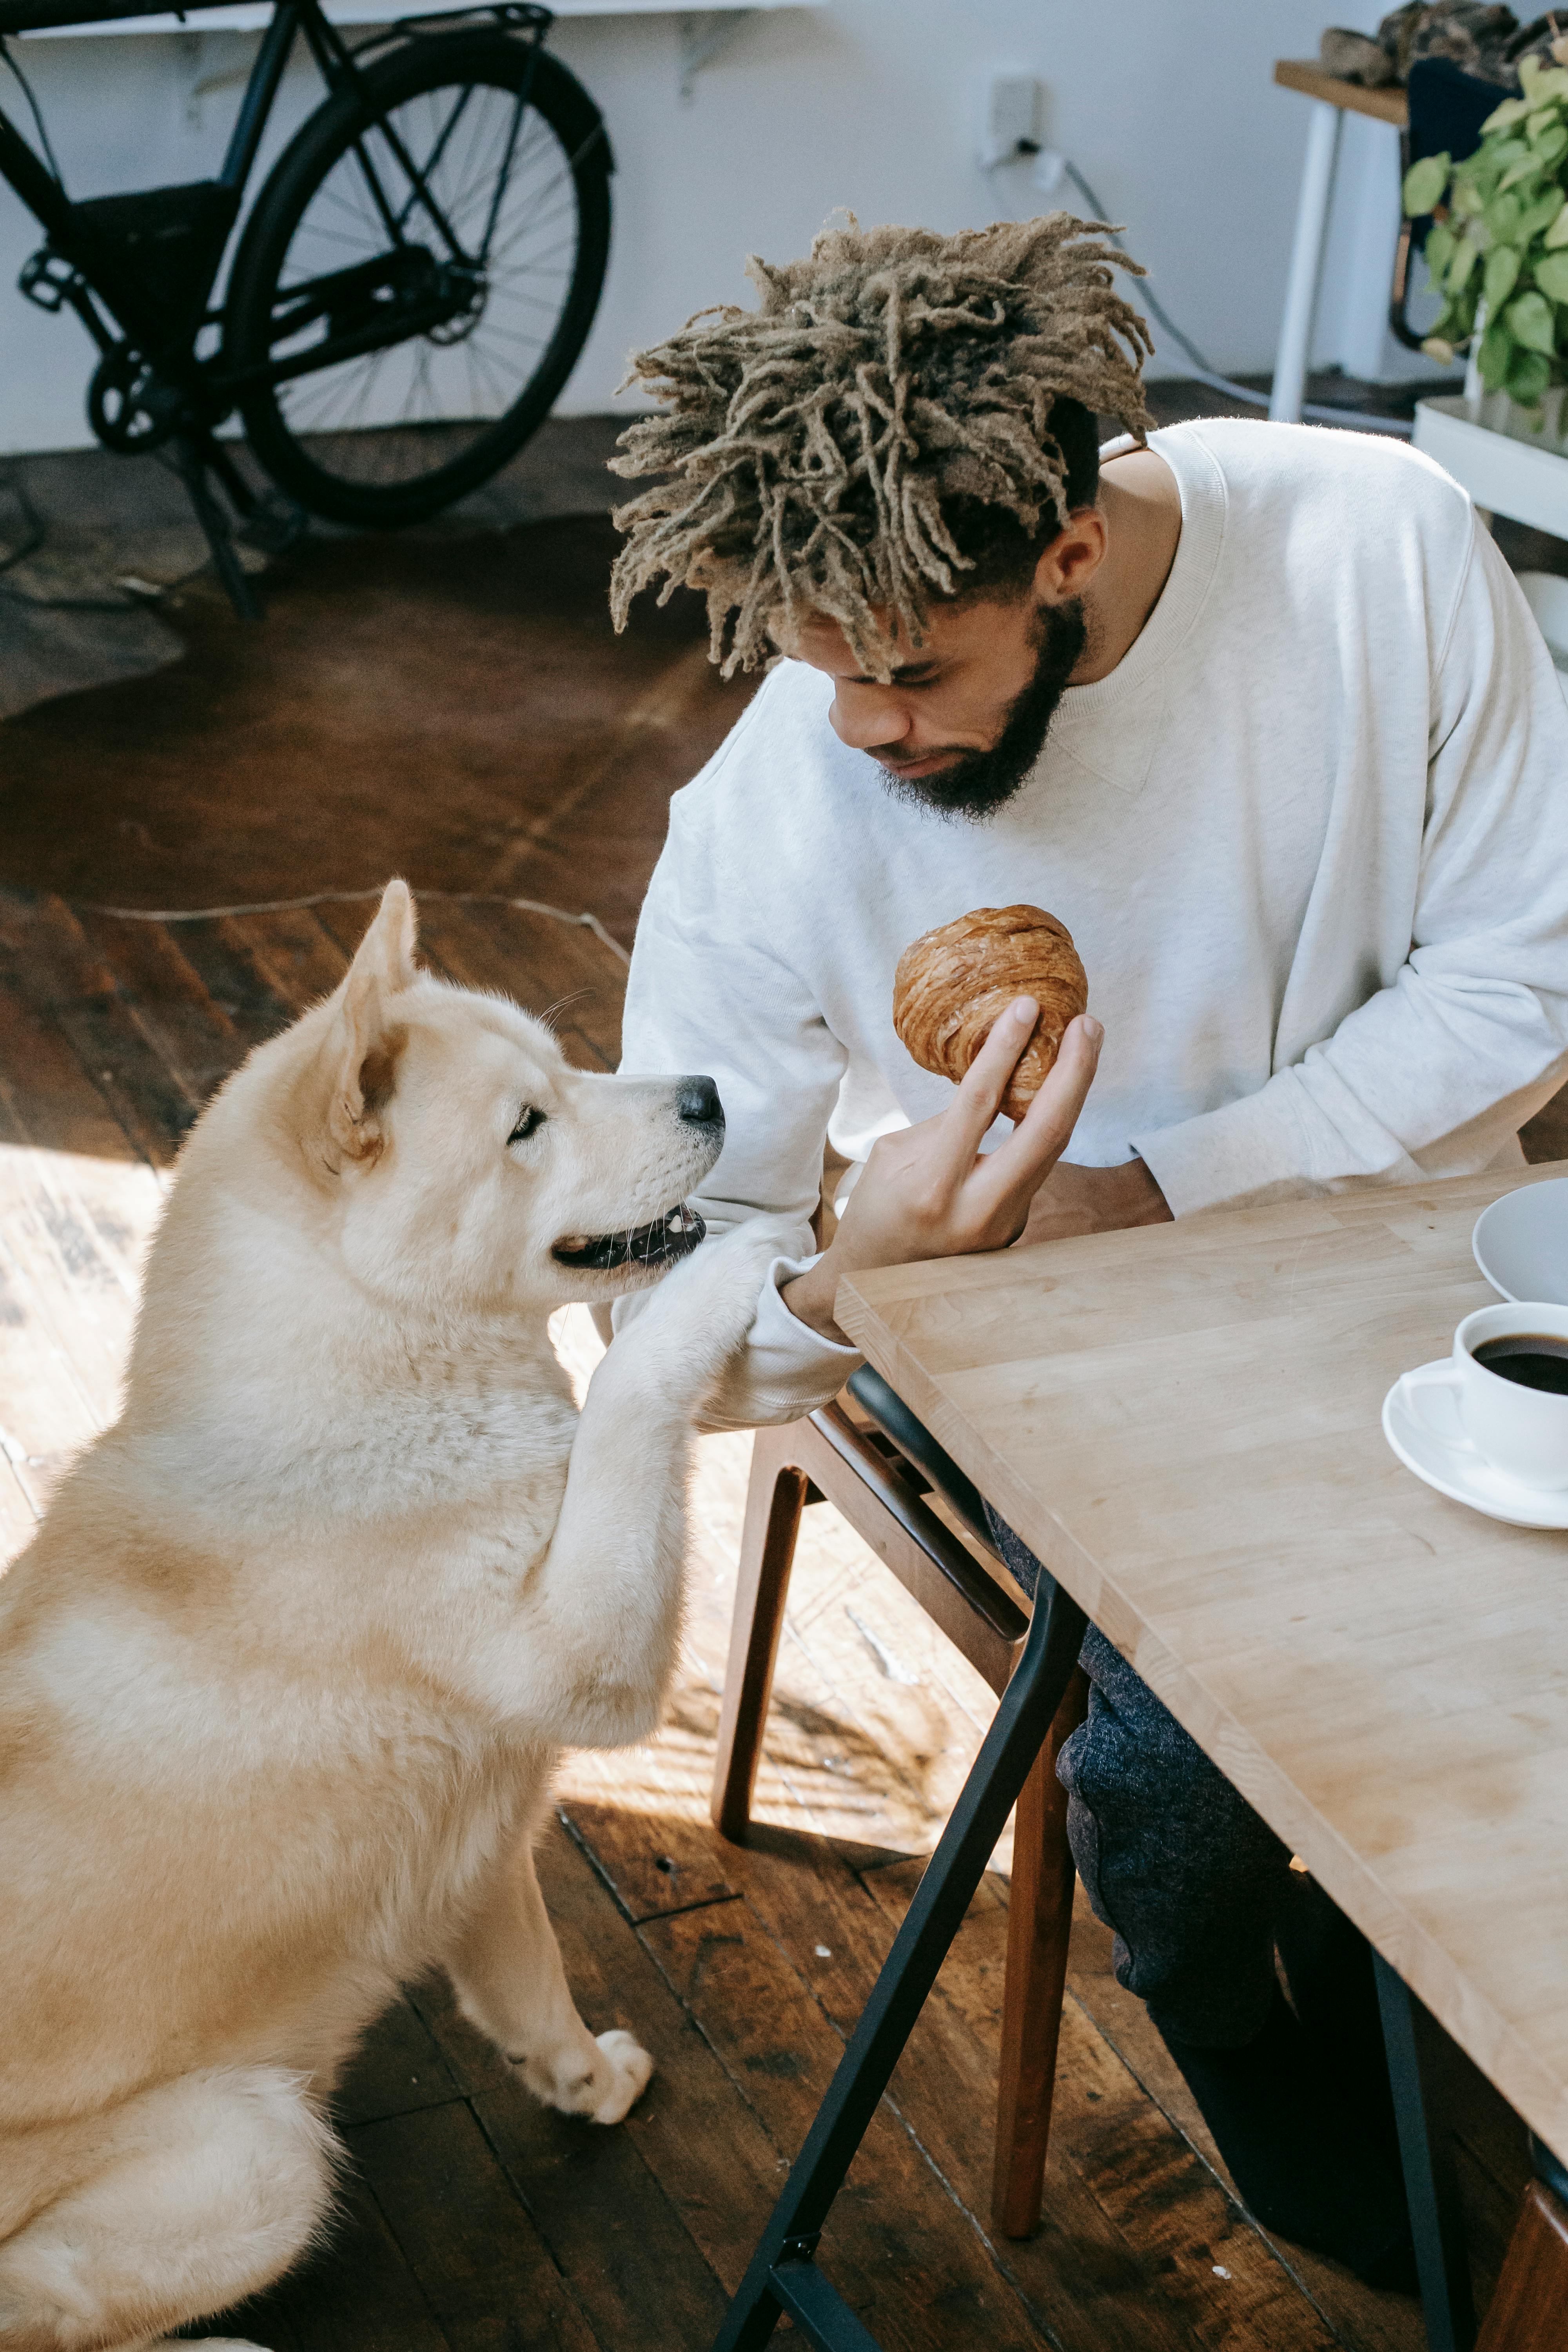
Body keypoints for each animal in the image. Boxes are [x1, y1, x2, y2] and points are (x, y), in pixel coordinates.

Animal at [0, 884, 780, 2352]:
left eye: (568, 1066)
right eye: (526, 1124)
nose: (711, 1089)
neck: (361, 1375)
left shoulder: (477, 1848)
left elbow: (532, 1988)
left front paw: (589, 2084)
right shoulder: (585, 1660)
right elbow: (632, 1397)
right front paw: (734, 1277)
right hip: (262, 2152)